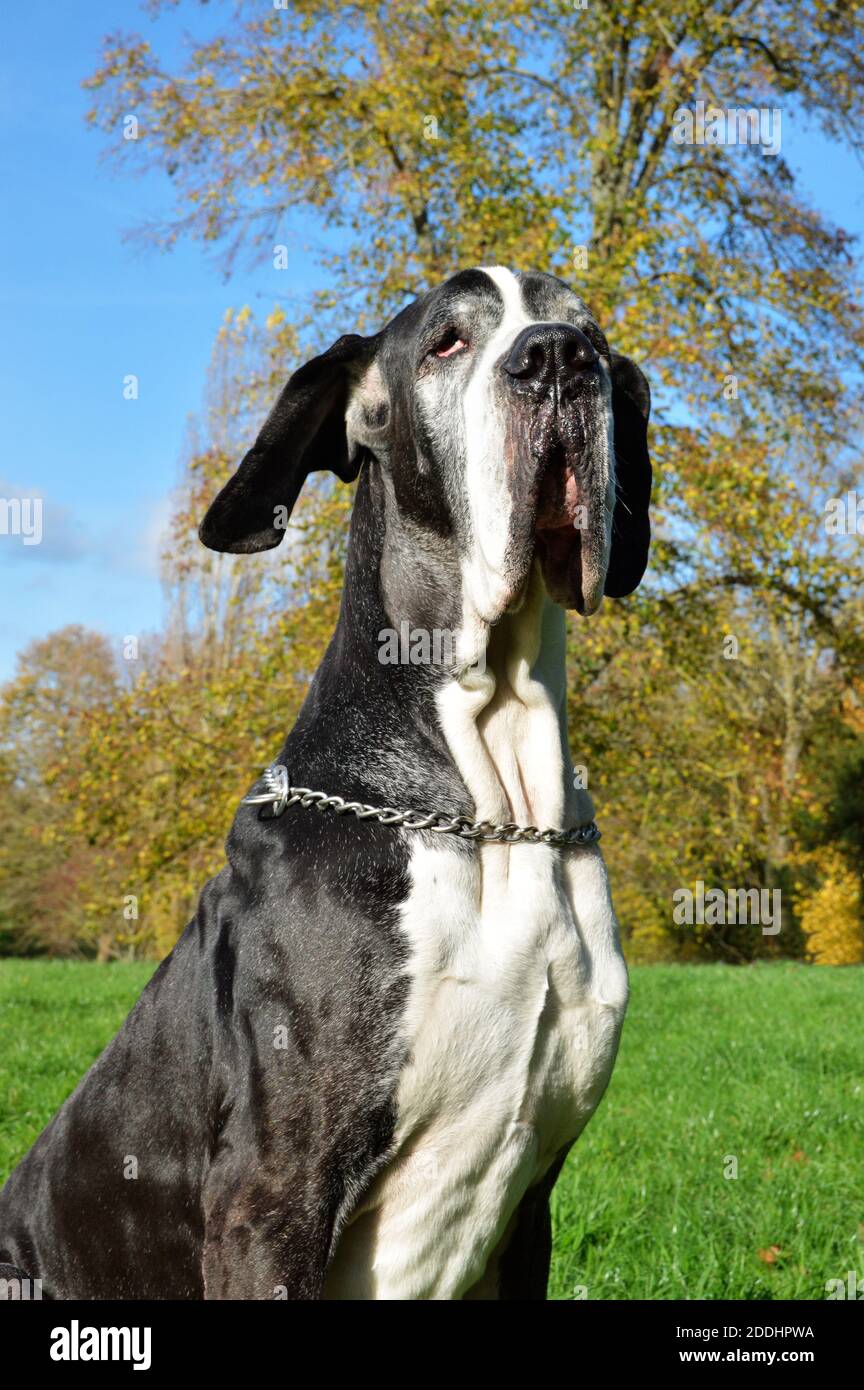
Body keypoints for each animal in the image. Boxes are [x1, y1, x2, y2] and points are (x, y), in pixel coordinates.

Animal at [0, 265, 650, 1295]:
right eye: (448, 342)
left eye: (589, 331)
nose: (556, 359)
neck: (491, 805)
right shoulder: (274, 1193)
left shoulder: (530, 1213)